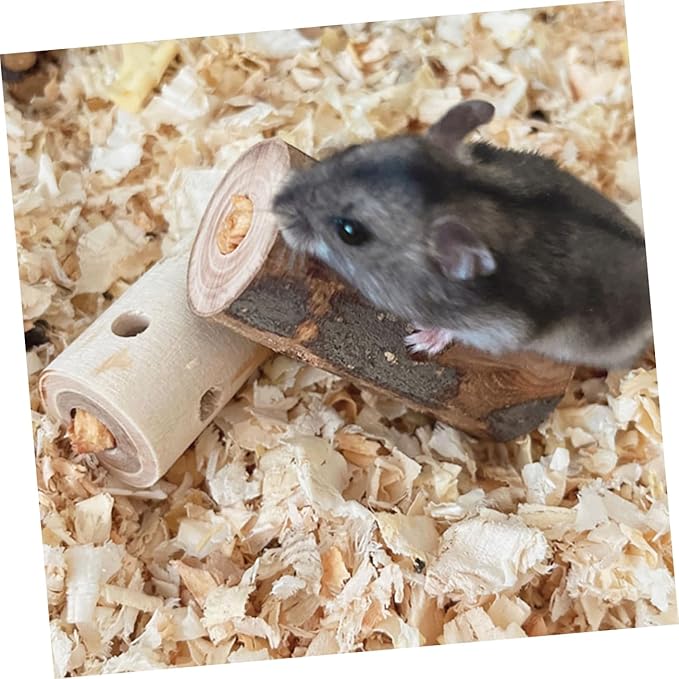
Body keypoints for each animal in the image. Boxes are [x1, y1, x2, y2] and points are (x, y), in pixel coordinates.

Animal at [271, 100, 653, 370]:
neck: (473, 198)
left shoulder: (498, 329)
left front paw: (418, 340)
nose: (276, 204)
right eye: (350, 151)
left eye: (349, 232)